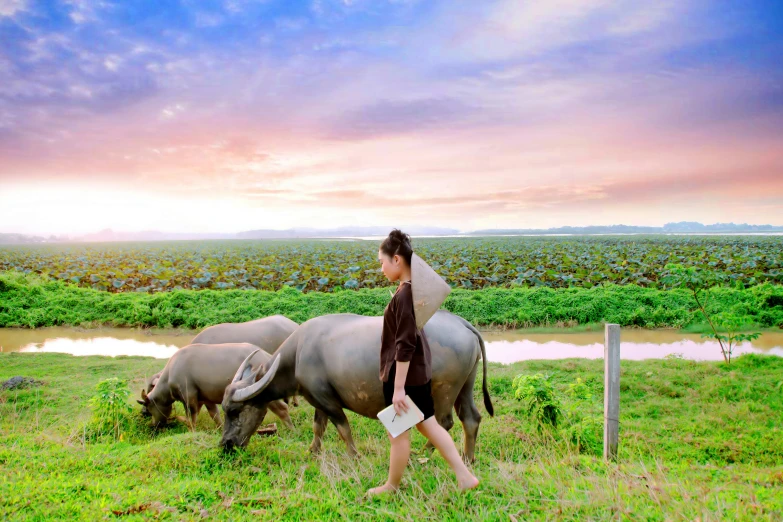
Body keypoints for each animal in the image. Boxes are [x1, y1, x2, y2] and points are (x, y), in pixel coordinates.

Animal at [138, 340, 294, 428]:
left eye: (149, 408)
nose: (153, 425)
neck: (171, 374)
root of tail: (267, 356)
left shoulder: (189, 398)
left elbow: (191, 418)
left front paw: (192, 430)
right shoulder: (205, 399)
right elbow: (214, 415)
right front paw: (219, 429)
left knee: (282, 408)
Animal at [217, 308, 494, 460]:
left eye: (234, 411)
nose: (226, 445)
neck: (296, 356)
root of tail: (461, 323)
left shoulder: (329, 402)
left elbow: (343, 429)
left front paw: (354, 454)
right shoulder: (318, 400)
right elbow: (318, 427)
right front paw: (313, 451)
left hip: (444, 390)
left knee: (445, 423)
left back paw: (424, 453)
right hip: (465, 386)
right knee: (471, 418)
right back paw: (468, 458)